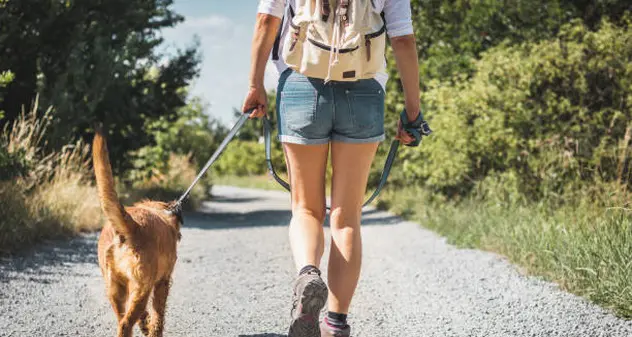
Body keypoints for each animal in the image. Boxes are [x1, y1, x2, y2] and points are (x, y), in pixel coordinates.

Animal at [94, 130, 183, 336]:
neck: (162, 212)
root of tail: (130, 226)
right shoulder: (162, 282)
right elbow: (159, 315)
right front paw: (153, 330)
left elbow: (147, 316)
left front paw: (145, 325)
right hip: (142, 288)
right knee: (126, 323)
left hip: (115, 290)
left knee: (122, 318)